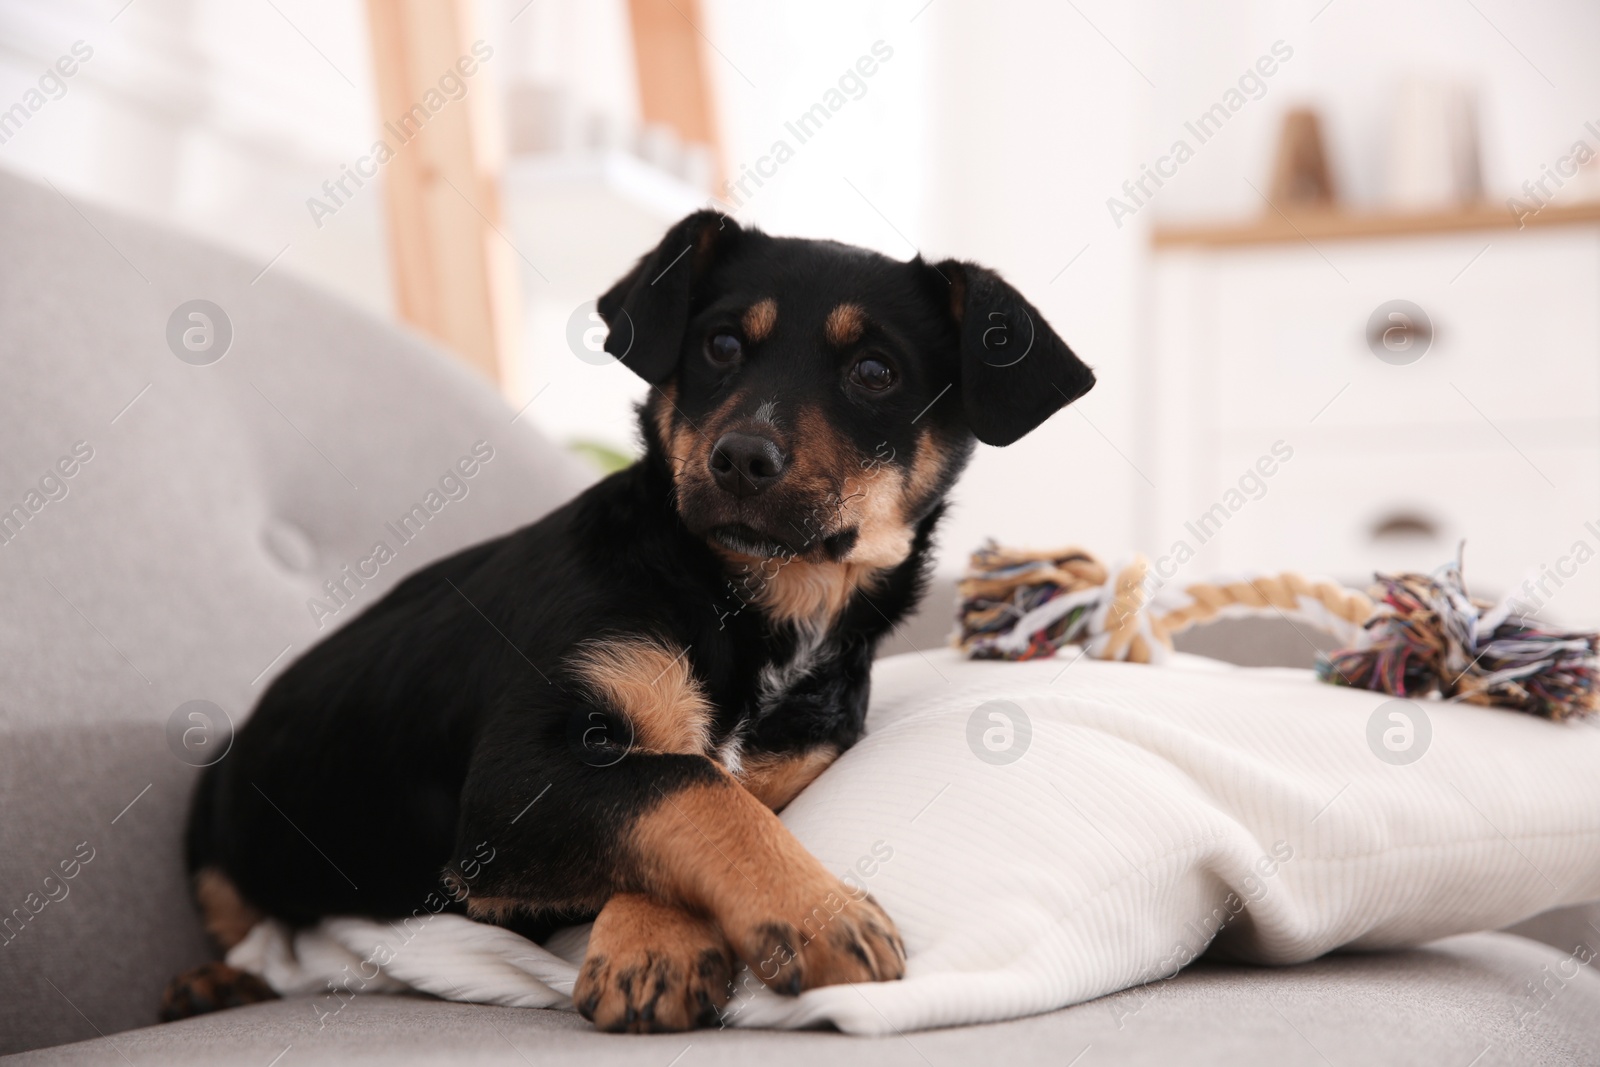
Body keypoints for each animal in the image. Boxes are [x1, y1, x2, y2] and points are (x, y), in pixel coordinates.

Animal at [172, 211, 1100, 1036]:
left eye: (876, 372)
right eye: (720, 346)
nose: (741, 458)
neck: (754, 606)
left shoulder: (786, 765)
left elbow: (702, 792)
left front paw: (657, 945)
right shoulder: (517, 781)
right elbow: (687, 785)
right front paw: (817, 913)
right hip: (217, 820)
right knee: (240, 920)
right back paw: (213, 981)